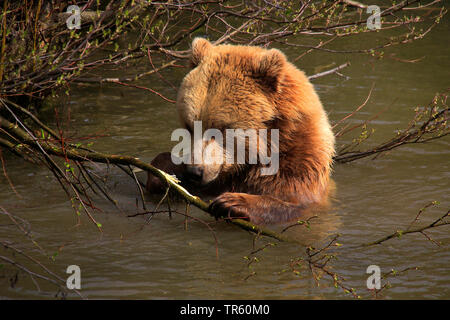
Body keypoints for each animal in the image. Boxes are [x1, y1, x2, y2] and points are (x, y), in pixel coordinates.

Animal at [147, 38, 334, 225]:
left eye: (221, 129)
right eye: (189, 126)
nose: (195, 172)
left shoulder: (297, 167)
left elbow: (292, 201)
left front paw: (231, 202)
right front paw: (164, 171)